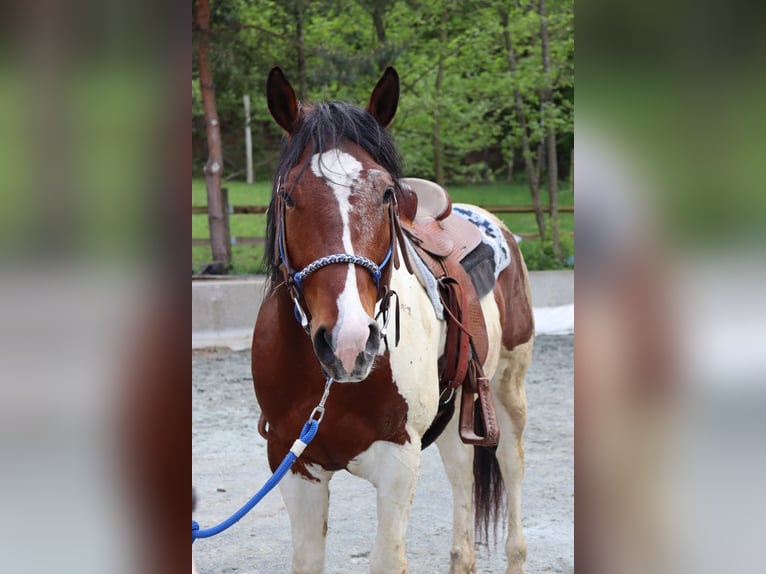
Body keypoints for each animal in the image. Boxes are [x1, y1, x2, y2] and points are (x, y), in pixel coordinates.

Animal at [252, 67, 536, 574]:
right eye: (288, 195)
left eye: (387, 193)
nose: (347, 344)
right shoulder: (293, 466)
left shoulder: (397, 462)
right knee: (462, 477)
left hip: (507, 392)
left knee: (511, 468)